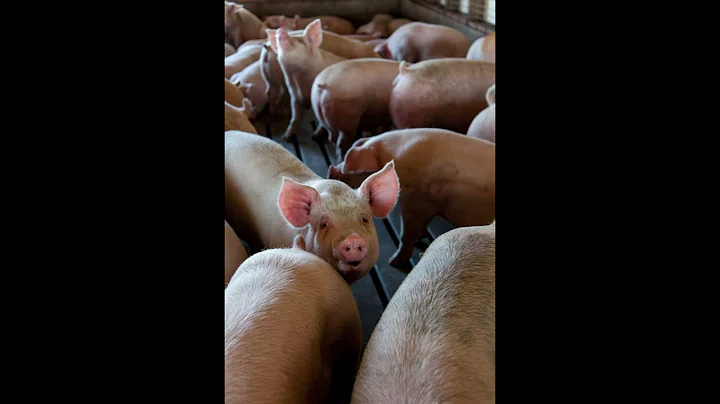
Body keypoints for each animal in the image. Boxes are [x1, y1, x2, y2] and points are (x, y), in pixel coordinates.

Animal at [328, 129, 495, 267]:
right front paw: (420, 237)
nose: (331, 169)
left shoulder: (415, 202)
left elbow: (406, 234)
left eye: (348, 166)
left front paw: (393, 262)